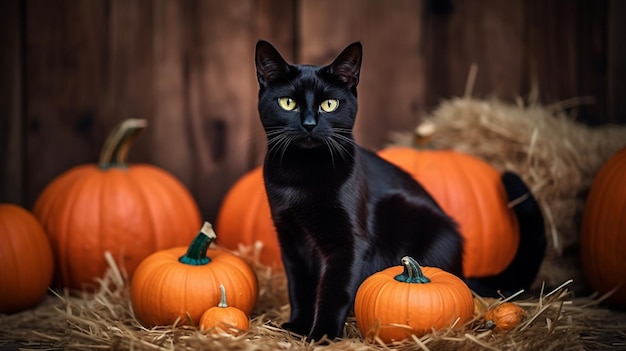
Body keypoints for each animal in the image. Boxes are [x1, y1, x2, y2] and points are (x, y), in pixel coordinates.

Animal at [251, 40, 544, 342]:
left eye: (329, 104)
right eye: (288, 103)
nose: (309, 124)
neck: (302, 176)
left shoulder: (348, 243)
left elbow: (334, 289)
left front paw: (323, 335)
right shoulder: (291, 239)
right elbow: (299, 288)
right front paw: (297, 327)